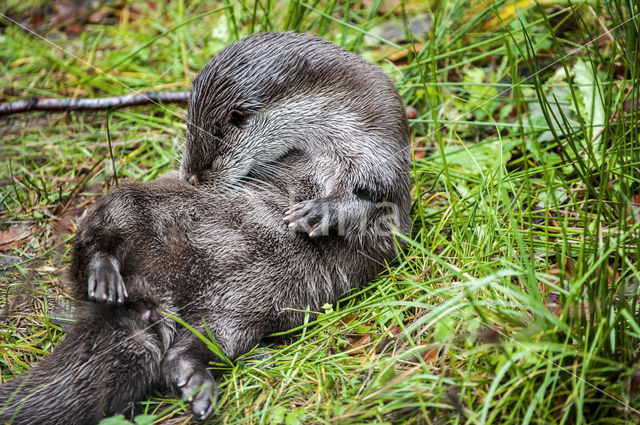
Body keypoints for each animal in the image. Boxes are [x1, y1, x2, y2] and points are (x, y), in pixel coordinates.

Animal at [0, 31, 410, 422]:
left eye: (221, 131)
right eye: (188, 128)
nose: (190, 177)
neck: (331, 150)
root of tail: (150, 296)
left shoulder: (383, 163)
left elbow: (373, 206)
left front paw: (317, 213)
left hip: (235, 313)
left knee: (189, 350)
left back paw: (195, 383)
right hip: (137, 203)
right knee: (101, 228)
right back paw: (103, 276)